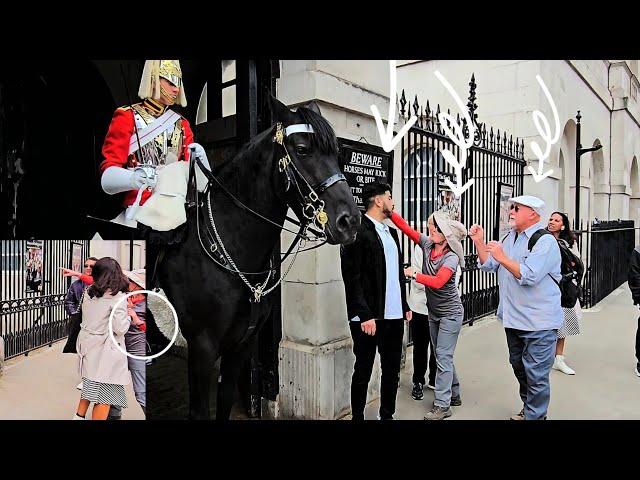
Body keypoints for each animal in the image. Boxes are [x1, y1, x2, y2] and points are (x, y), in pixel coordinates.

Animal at [157, 95, 360, 418]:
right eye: (302, 149)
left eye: (339, 154)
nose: (350, 221)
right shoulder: (202, 348)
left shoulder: (240, 346)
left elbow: (225, 401)